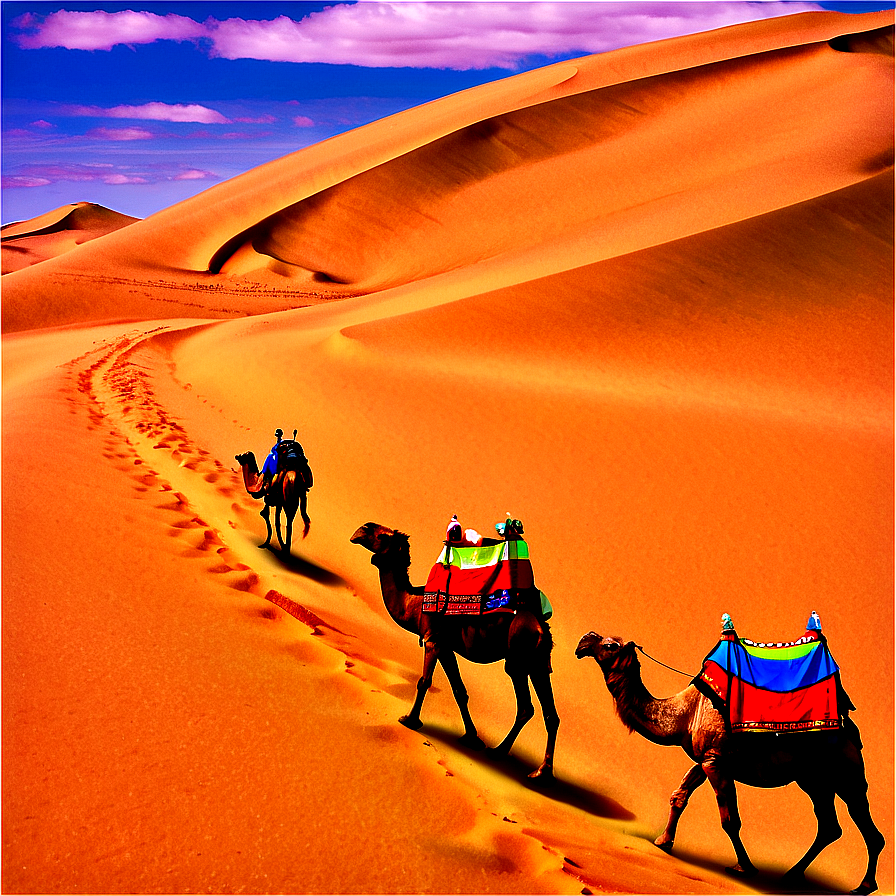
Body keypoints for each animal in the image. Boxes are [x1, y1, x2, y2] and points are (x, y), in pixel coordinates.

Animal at [352, 520, 556, 780]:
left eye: (383, 536)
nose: (363, 528)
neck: (414, 605)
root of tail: (540, 627)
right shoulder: (446, 647)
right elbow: (460, 691)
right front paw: (472, 737)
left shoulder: (433, 641)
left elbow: (424, 682)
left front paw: (409, 719)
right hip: (538, 662)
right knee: (550, 714)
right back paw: (541, 772)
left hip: (518, 657)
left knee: (525, 707)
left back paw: (500, 752)